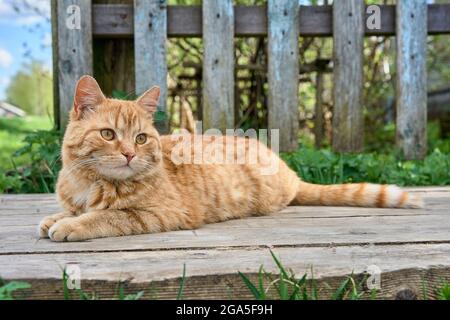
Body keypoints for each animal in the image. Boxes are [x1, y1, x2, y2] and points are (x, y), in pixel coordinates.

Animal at [37, 75, 422, 241]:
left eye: (141, 138)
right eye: (108, 134)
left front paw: (71, 225)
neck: (89, 182)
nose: (130, 154)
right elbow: (74, 210)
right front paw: (57, 217)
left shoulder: (163, 213)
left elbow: (109, 216)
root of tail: (291, 174)